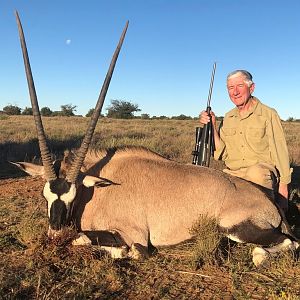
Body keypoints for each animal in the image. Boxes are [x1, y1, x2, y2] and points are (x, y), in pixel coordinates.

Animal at [13, 11, 298, 266]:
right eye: (45, 196)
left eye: (72, 197)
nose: (55, 234)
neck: (99, 190)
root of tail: (270, 203)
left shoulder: (135, 234)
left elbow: (104, 244)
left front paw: (117, 251)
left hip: (237, 228)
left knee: (284, 244)